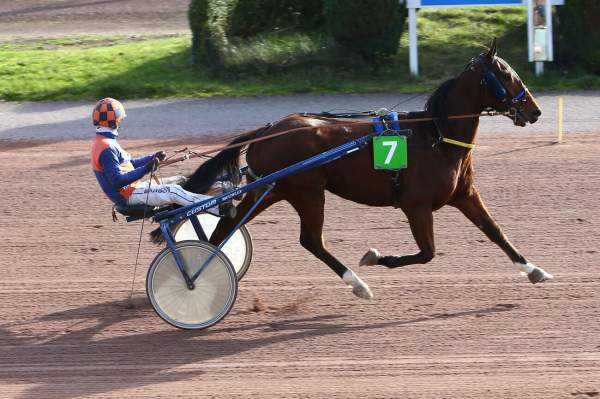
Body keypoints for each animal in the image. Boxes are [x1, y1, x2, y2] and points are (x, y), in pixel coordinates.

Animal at [156, 40, 552, 300]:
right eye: (506, 74)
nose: (534, 111)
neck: (436, 136)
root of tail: (268, 130)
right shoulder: (416, 206)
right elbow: (427, 253)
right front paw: (376, 257)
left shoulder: (465, 195)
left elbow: (496, 231)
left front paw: (535, 270)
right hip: (306, 191)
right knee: (310, 240)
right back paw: (357, 284)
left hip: (270, 189)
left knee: (226, 227)